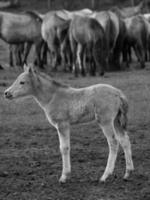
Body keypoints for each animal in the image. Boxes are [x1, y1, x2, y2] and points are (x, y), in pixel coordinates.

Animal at [4, 64, 134, 183]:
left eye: (22, 82)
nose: (6, 93)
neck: (52, 97)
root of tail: (118, 93)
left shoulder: (62, 124)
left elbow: (64, 148)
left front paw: (64, 176)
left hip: (105, 121)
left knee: (113, 142)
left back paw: (105, 176)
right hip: (116, 120)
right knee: (125, 140)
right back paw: (128, 173)